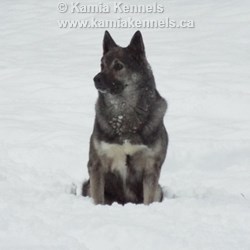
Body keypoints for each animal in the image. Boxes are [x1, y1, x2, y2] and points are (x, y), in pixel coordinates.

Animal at [82, 30, 168, 204]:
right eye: (102, 65)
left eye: (118, 66)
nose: (96, 79)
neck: (124, 115)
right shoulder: (96, 164)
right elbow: (98, 198)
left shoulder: (151, 167)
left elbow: (149, 200)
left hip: (159, 189)